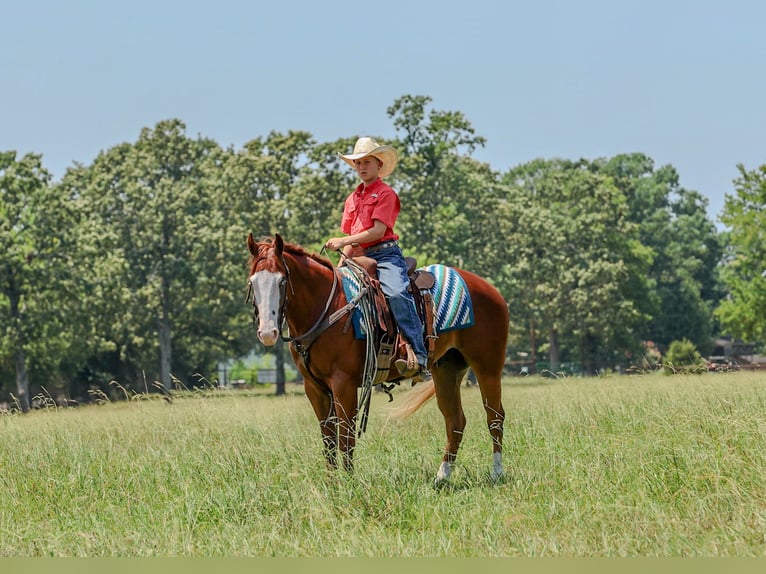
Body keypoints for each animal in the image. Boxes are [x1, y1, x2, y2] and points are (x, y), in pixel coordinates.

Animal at [246, 233, 509, 484]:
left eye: (281, 281)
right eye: (252, 282)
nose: (267, 333)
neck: (327, 308)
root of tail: (490, 289)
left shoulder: (344, 384)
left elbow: (346, 435)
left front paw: (347, 483)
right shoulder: (315, 388)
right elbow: (328, 438)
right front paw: (331, 483)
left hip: (487, 367)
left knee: (494, 416)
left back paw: (497, 473)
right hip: (447, 369)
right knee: (455, 421)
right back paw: (441, 477)